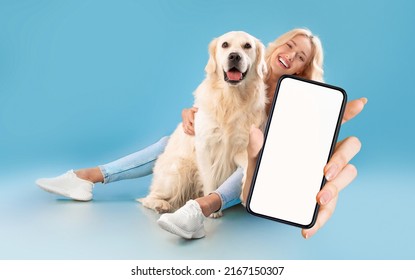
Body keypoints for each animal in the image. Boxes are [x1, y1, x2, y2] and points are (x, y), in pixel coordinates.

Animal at [138, 30, 268, 215]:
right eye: (225, 45)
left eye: (247, 46)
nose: (234, 56)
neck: (231, 99)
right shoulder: (205, 145)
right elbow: (209, 177)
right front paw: (213, 210)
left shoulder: (243, 146)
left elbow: (249, 164)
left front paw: (245, 192)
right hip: (180, 169)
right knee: (149, 197)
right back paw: (160, 204)